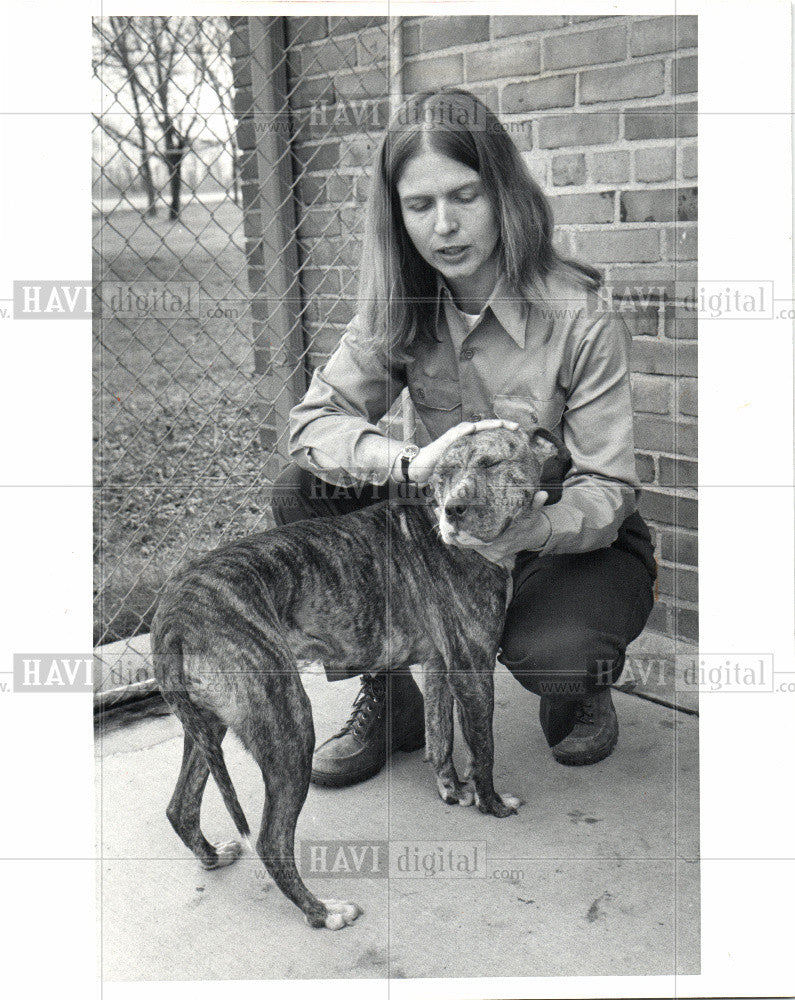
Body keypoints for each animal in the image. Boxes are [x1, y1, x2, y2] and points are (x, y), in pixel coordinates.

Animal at [151, 424, 564, 928]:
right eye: (444, 473)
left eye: (490, 464)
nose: (454, 511)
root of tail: (175, 613)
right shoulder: (473, 668)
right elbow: (483, 750)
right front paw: (492, 804)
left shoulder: (441, 665)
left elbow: (439, 736)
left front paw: (450, 788)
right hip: (287, 723)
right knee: (271, 839)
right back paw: (321, 911)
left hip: (207, 724)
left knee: (180, 807)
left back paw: (212, 857)